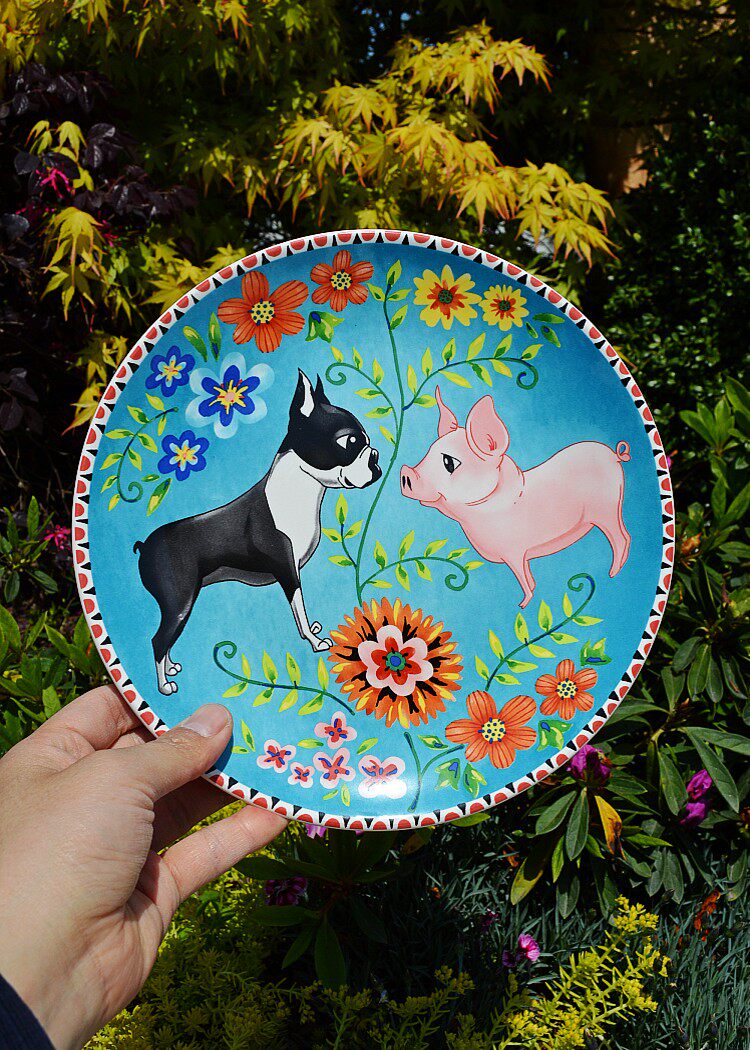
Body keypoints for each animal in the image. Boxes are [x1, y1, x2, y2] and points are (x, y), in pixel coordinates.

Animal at [134, 371, 381, 695]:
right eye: (350, 441)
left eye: (367, 442)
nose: (375, 455)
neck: (298, 491)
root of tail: (144, 545)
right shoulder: (287, 570)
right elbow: (299, 608)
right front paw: (315, 641)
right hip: (179, 601)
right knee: (157, 640)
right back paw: (164, 686)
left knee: (166, 641)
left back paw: (172, 667)